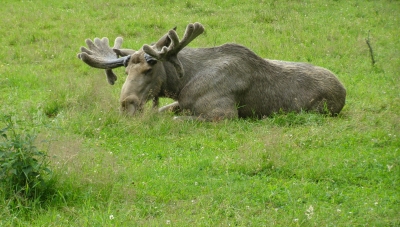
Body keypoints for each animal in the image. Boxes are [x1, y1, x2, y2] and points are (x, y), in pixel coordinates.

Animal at [77, 22, 344, 121]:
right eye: (126, 72)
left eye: (149, 69)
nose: (126, 104)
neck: (181, 84)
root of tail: (344, 91)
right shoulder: (180, 102)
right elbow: (162, 112)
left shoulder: (224, 115)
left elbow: (175, 120)